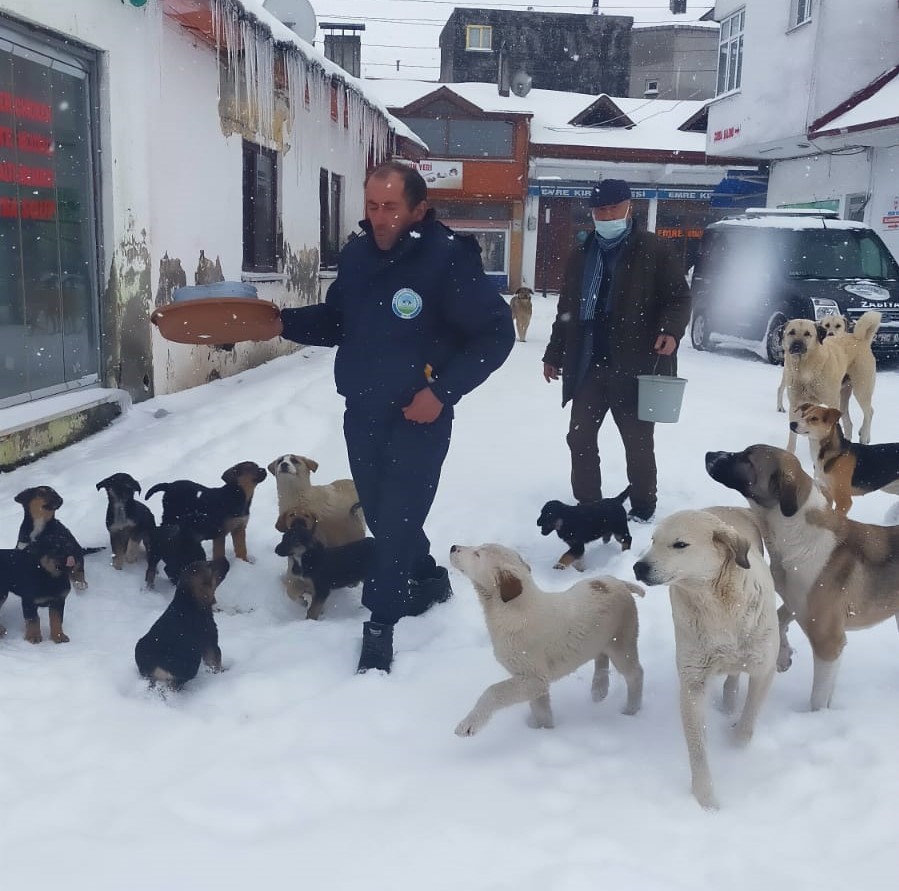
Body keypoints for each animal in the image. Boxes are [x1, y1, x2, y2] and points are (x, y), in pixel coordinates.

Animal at [135, 556, 232, 688]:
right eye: (209, 566)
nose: (224, 558)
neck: (188, 599)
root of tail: (154, 667)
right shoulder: (211, 643)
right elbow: (216, 662)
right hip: (190, 665)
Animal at [632, 508, 780, 808]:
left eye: (679, 544)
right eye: (653, 540)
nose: (638, 567)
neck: (716, 606)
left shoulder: (764, 668)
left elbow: (746, 727)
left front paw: (735, 744)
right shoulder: (692, 683)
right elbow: (697, 749)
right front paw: (706, 800)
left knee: (735, 673)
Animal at [708, 444, 899, 712]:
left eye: (748, 459)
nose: (708, 455)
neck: (795, 532)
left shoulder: (828, 641)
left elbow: (818, 698)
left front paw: (817, 717)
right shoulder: (796, 600)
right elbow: (780, 617)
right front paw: (783, 655)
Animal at [776, 314, 884, 452]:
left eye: (807, 334)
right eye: (791, 332)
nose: (796, 345)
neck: (804, 370)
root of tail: (859, 338)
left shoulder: (832, 403)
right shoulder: (795, 404)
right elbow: (792, 437)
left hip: (861, 389)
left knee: (869, 412)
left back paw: (864, 437)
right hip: (843, 396)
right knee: (849, 423)